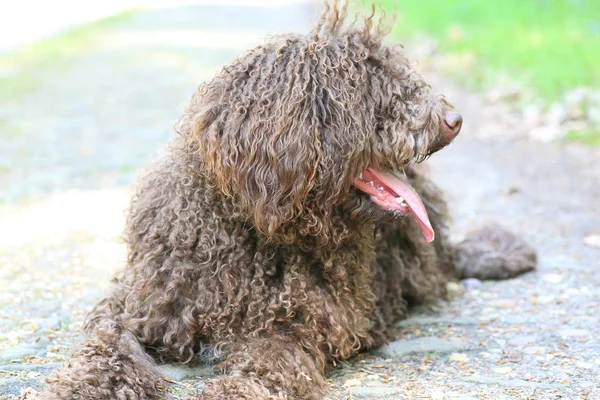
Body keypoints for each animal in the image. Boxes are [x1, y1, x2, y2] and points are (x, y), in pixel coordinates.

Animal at [39, 1, 536, 398]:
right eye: (371, 89)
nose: (454, 119)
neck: (248, 230)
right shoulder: (136, 306)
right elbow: (105, 348)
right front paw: (82, 386)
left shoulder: (295, 330)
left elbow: (268, 367)